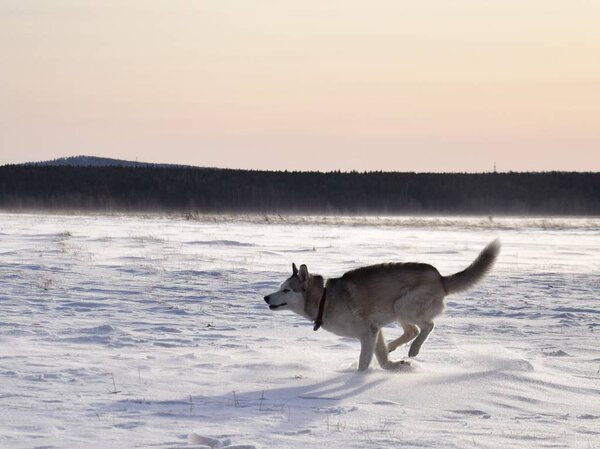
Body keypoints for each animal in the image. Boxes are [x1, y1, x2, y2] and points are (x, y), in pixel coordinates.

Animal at [264, 240, 500, 370]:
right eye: (280, 287)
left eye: (286, 290)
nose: (266, 298)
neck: (325, 299)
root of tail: (440, 278)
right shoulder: (374, 330)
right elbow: (382, 358)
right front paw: (395, 366)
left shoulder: (368, 333)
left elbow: (364, 363)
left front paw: (359, 378)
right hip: (398, 311)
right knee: (412, 330)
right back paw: (394, 346)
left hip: (403, 305)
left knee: (427, 326)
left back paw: (414, 348)